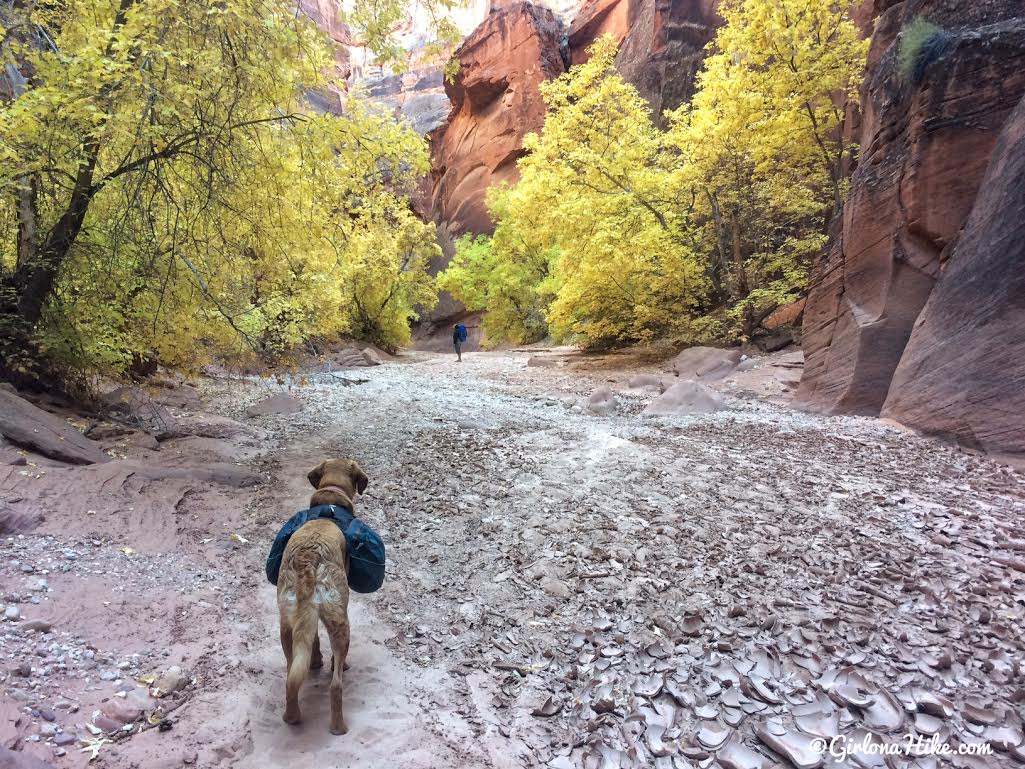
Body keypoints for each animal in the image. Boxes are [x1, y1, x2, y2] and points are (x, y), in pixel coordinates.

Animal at [276, 457, 369, 734]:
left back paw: (292, 717)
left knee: (291, 676)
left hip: (287, 625)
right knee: (336, 684)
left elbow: (313, 640)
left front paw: (316, 660)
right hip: (341, 622)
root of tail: (309, 558)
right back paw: (339, 727)